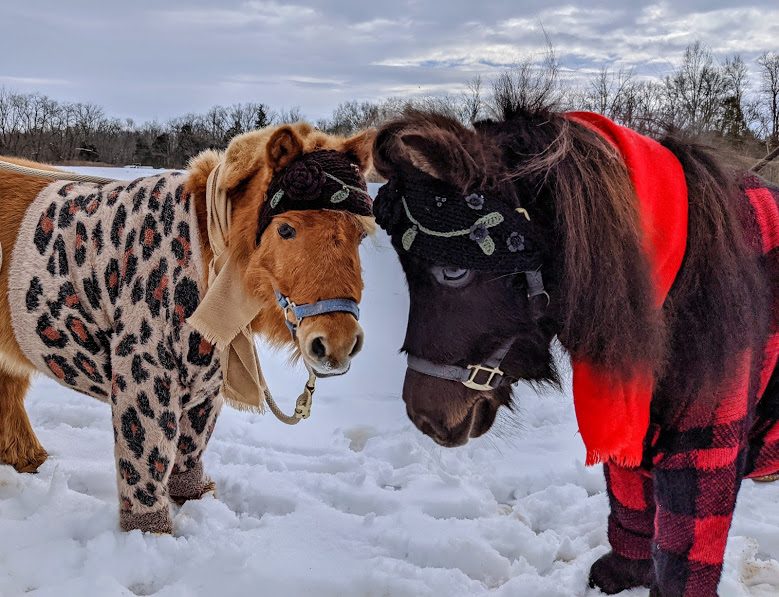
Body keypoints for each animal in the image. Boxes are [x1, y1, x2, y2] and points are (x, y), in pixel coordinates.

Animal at [0, 121, 375, 533]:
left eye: (359, 234)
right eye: (287, 230)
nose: (338, 343)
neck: (207, 249)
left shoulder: (206, 380)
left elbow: (189, 447)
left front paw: (194, 497)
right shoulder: (144, 375)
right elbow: (146, 458)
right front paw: (152, 531)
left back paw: (29, 461)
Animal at [371, 108, 779, 596]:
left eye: (454, 271)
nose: (424, 417)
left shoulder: (704, 444)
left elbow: (682, 552)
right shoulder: (632, 421)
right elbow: (630, 501)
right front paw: (621, 574)